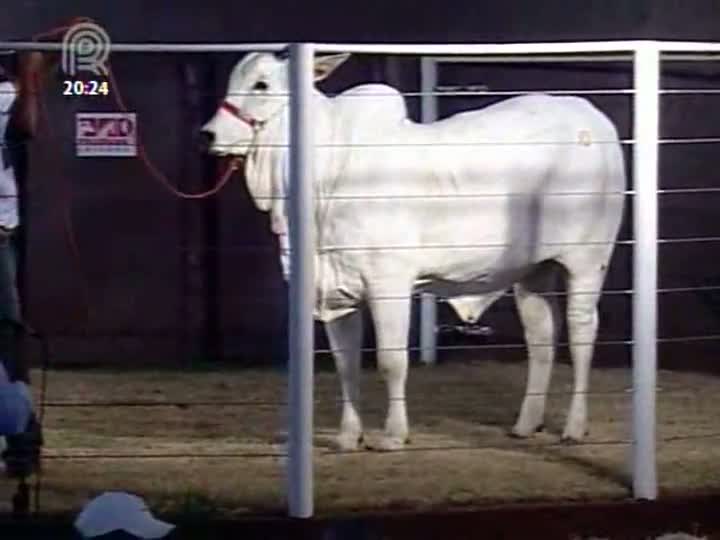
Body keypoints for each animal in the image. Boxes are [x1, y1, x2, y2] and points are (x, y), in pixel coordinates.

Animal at [201, 53, 624, 452]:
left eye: (261, 84)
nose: (209, 134)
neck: (325, 170)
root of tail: (593, 116)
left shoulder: (388, 282)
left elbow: (391, 361)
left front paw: (392, 435)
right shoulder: (338, 288)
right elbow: (346, 365)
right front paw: (347, 436)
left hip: (588, 261)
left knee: (581, 333)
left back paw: (574, 427)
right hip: (534, 270)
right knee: (541, 337)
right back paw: (526, 424)